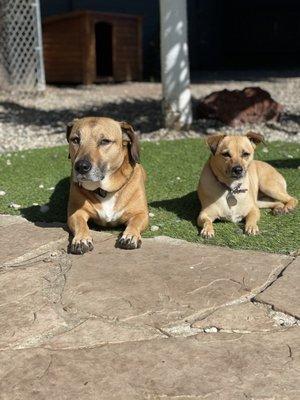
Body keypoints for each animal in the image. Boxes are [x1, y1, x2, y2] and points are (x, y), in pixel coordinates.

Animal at [67, 116, 149, 253]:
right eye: (75, 140)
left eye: (105, 141)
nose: (81, 166)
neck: (104, 190)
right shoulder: (76, 212)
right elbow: (80, 223)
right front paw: (81, 239)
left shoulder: (141, 213)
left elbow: (135, 222)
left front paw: (130, 236)